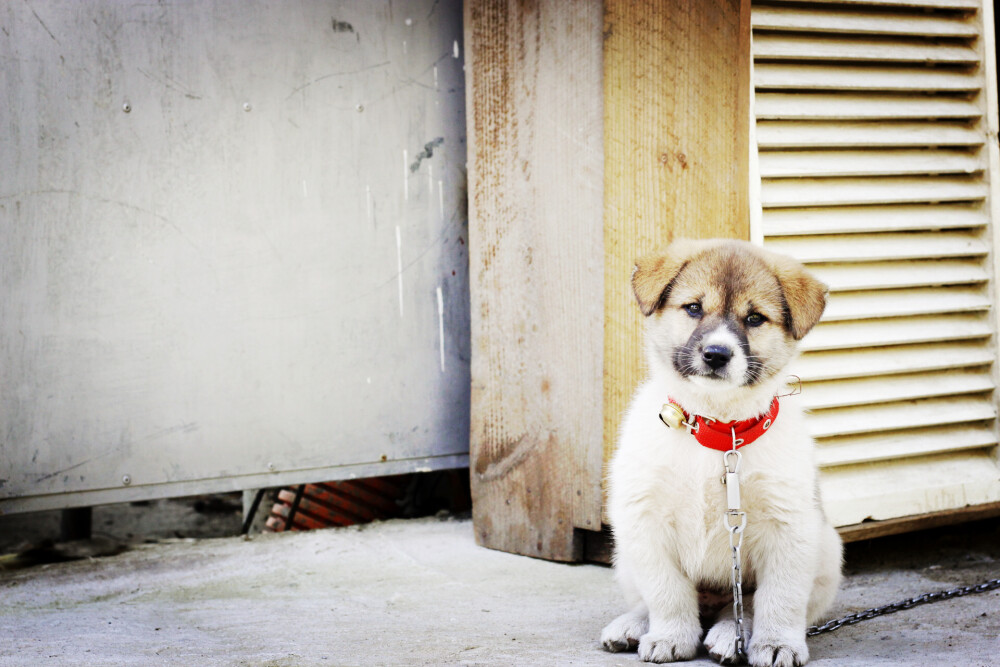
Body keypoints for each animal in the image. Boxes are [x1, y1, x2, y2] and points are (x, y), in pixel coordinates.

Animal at [600, 237, 844, 664]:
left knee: (740, 606)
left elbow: (778, 598)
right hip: (624, 556)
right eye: (694, 308)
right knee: (656, 600)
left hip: (828, 551)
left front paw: (776, 643)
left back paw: (730, 634)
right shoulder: (644, 520)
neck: (718, 431)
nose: (716, 354)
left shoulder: (789, 527)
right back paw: (632, 626)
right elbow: (666, 592)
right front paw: (671, 635)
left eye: (755, 318)